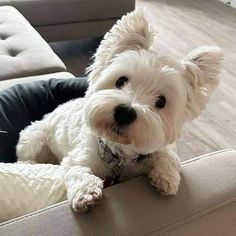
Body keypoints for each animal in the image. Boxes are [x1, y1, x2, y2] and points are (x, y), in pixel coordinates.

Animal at [16, 9, 223, 212]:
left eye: (161, 102)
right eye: (121, 80)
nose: (125, 112)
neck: (119, 154)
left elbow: (166, 153)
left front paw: (167, 176)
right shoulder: (75, 158)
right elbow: (76, 170)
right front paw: (86, 191)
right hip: (34, 138)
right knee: (25, 158)